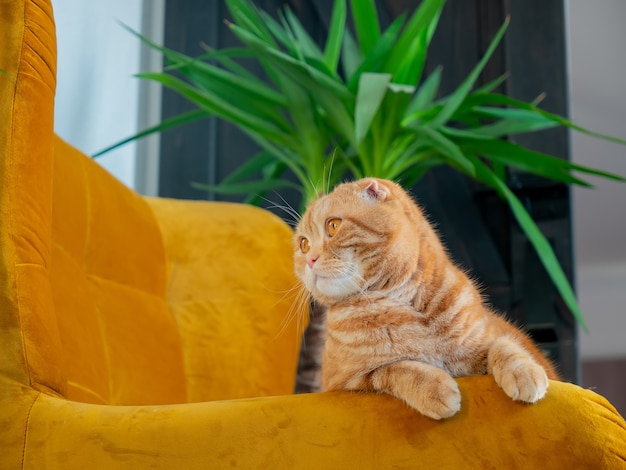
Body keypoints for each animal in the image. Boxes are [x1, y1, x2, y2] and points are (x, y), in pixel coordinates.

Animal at [292, 178, 556, 420]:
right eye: (303, 244)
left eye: (333, 225)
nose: (310, 260)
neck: (404, 305)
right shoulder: (344, 383)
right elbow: (394, 369)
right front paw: (435, 389)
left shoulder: (487, 337)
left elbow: (504, 345)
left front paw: (524, 372)